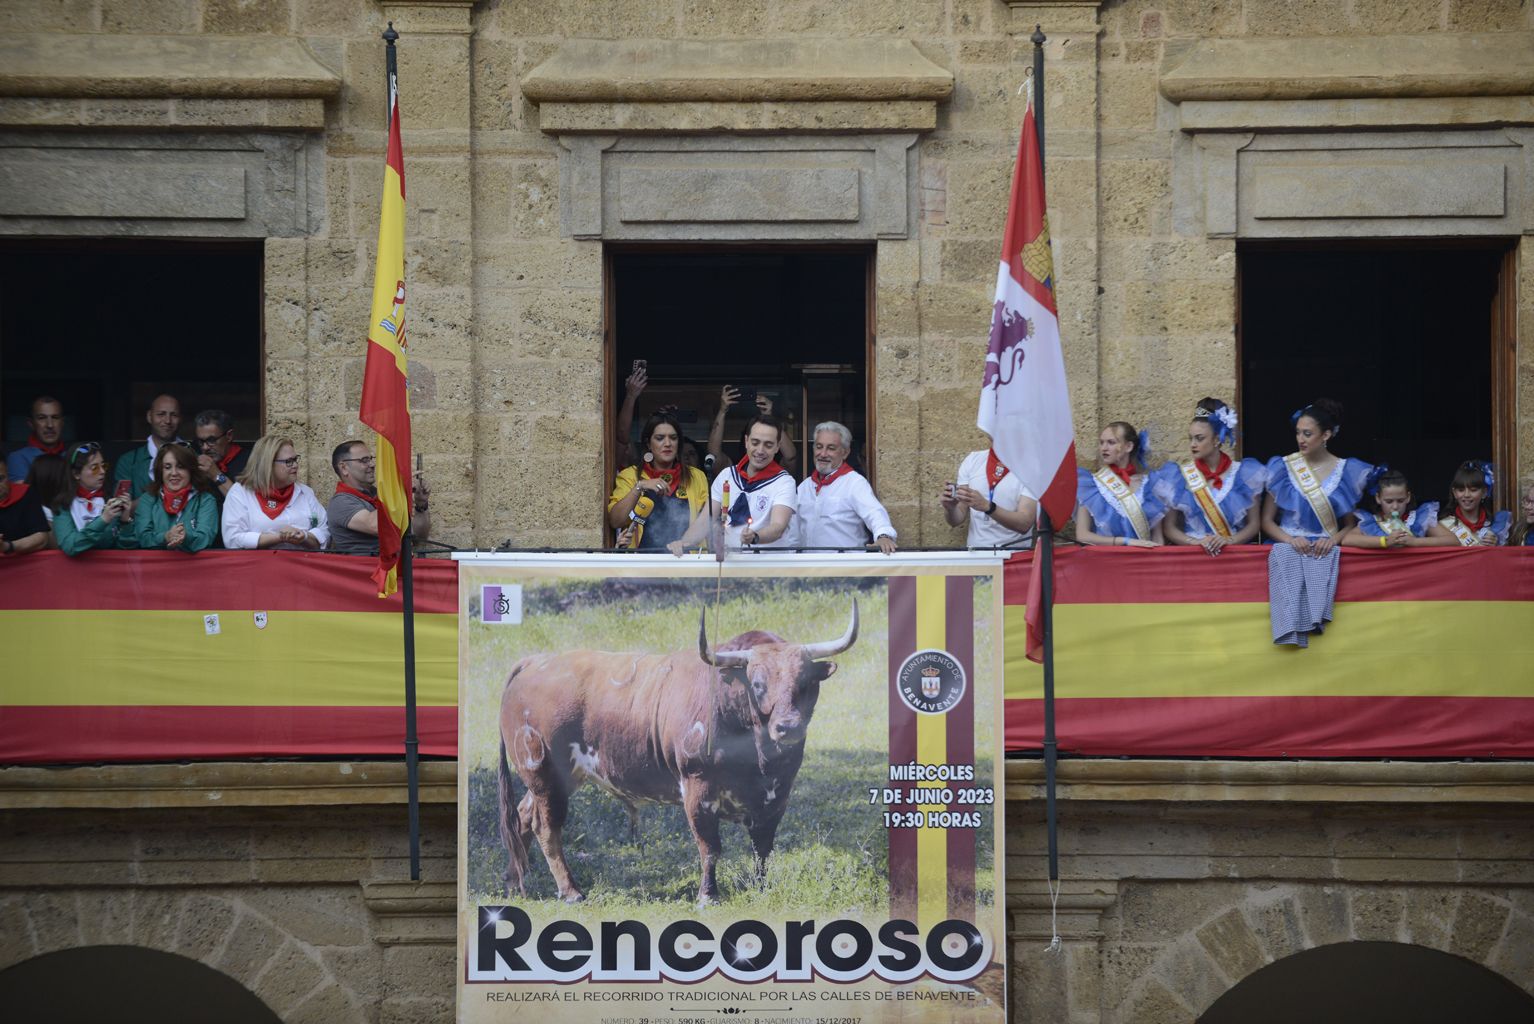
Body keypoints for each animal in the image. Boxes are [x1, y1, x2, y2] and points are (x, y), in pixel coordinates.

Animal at [503, 600, 865, 901]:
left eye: (806, 682)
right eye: (758, 684)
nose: (788, 726)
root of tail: (535, 661)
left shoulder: (777, 797)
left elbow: (763, 849)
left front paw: (761, 889)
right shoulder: (697, 791)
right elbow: (710, 848)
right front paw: (708, 895)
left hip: (558, 779)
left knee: (522, 816)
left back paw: (517, 880)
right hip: (543, 774)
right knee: (547, 829)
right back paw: (571, 891)